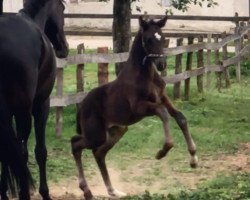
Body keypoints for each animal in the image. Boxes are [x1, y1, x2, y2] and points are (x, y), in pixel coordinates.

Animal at [0, 0, 68, 198]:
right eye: (62, 8)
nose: (63, 48)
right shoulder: (40, 106)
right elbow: (38, 151)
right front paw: (43, 192)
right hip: (25, 112)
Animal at [70, 16, 197, 200]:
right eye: (149, 39)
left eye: (163, 37)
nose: (161, 64)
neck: (146, 75)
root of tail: (82, 106)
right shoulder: (139, 107)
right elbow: (163, 113)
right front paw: (163, 151)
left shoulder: (163, 97)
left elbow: (180, 117)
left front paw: (194, 159)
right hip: (96, 135)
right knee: (75, 144)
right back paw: (87, 190)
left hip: (117, 130)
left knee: (99, 153)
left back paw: (112, 190)